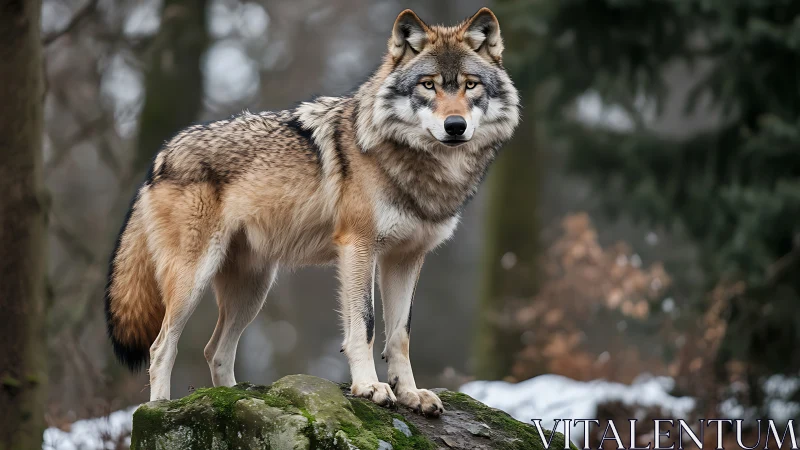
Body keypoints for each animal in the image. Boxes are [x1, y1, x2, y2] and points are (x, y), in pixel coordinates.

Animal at [105, 7, 519, 416]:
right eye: (428, 85)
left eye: (470, 85)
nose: (455, 126)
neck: (419, 167)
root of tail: (160, 157)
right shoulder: (358, 247)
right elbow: (365, 326)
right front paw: (370, 387)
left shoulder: (406, 258)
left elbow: (400, 335)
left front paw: (410, 394)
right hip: (194, 279)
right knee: (162, 347)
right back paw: (160, 409)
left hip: (253, 290)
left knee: (215, 350)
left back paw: (232, 401)